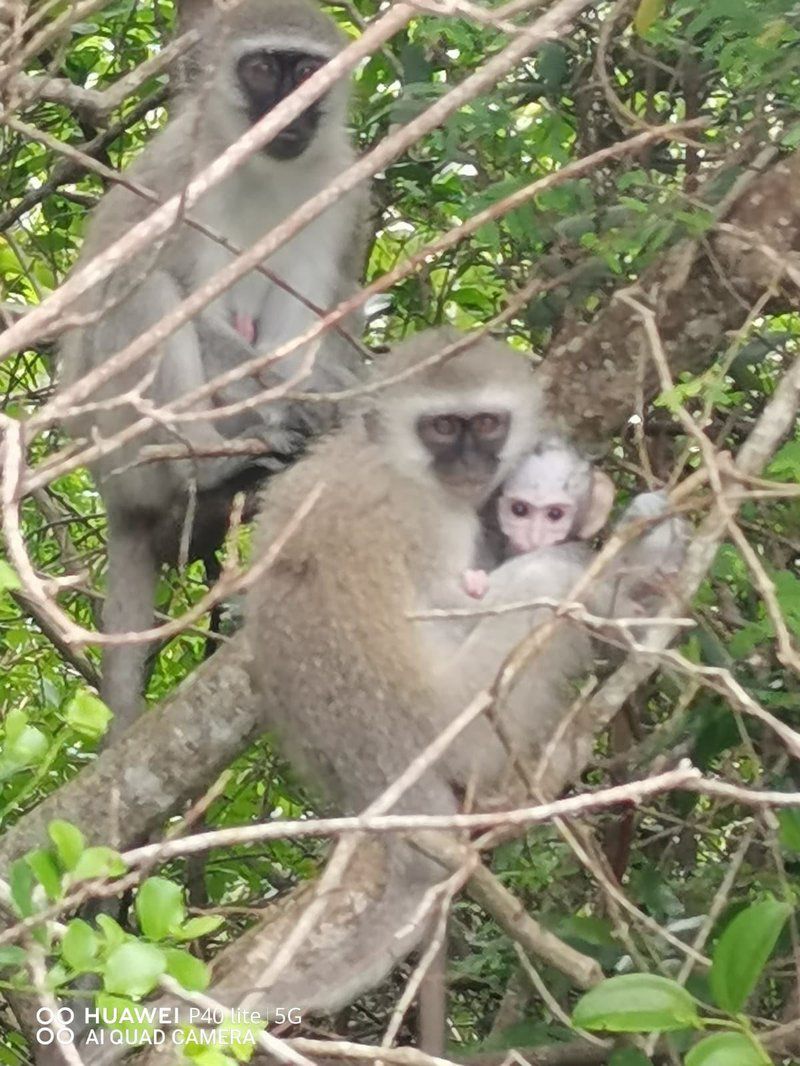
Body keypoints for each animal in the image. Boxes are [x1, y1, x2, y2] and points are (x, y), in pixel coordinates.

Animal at [59, 0, 369, 741]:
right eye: (261, 69)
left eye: (305, 71)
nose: (285, 110)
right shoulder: (178, 177)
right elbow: (154, 292)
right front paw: (331, 401)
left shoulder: (341, 191)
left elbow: (308, 320)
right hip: (120, 441)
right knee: (146, 294)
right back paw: (212, 465)